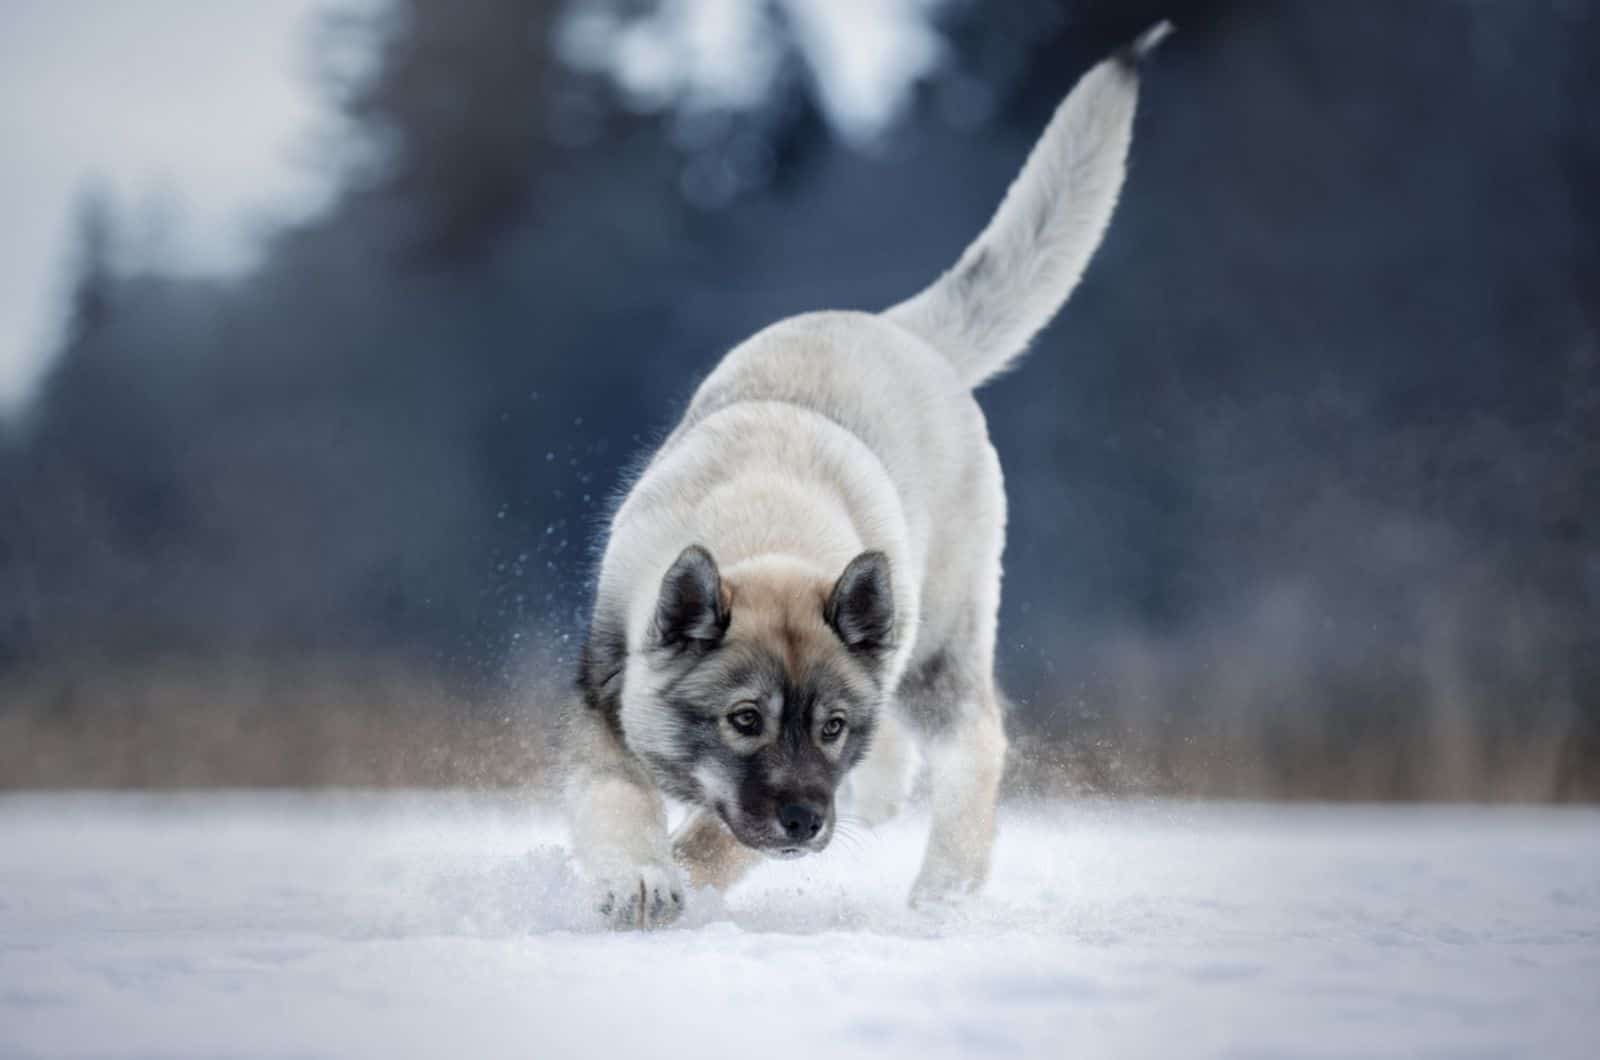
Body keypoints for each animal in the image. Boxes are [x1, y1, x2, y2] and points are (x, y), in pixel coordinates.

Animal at [563, 27, 1164, 928]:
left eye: (833, 726)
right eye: (745, 718)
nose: (808, 822)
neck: (765, 525)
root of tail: (904, 332)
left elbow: (715, 840)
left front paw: (681, 879)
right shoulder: (605, 688)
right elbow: (615, 792)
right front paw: (636, 876)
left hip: (942, 638)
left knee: (977, 741)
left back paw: (944, 891)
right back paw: (885, 803)